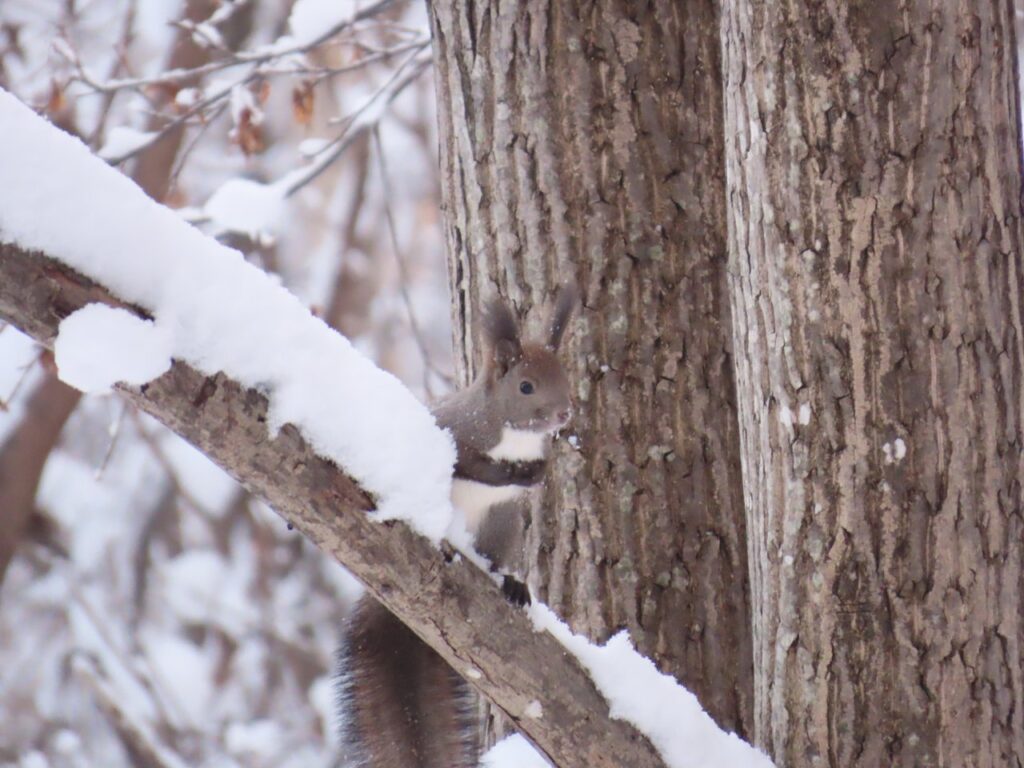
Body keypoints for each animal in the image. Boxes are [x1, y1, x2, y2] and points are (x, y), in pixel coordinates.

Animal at [335, 286, 577, 768]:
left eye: (563, 373)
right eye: (525, 385)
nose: (564, 414)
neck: (514, 437)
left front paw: (538, 472)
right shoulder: (456, 432)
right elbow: (470, 464)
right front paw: (511, 473)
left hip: (502, 526)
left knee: (495, 559)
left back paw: (511, 583)